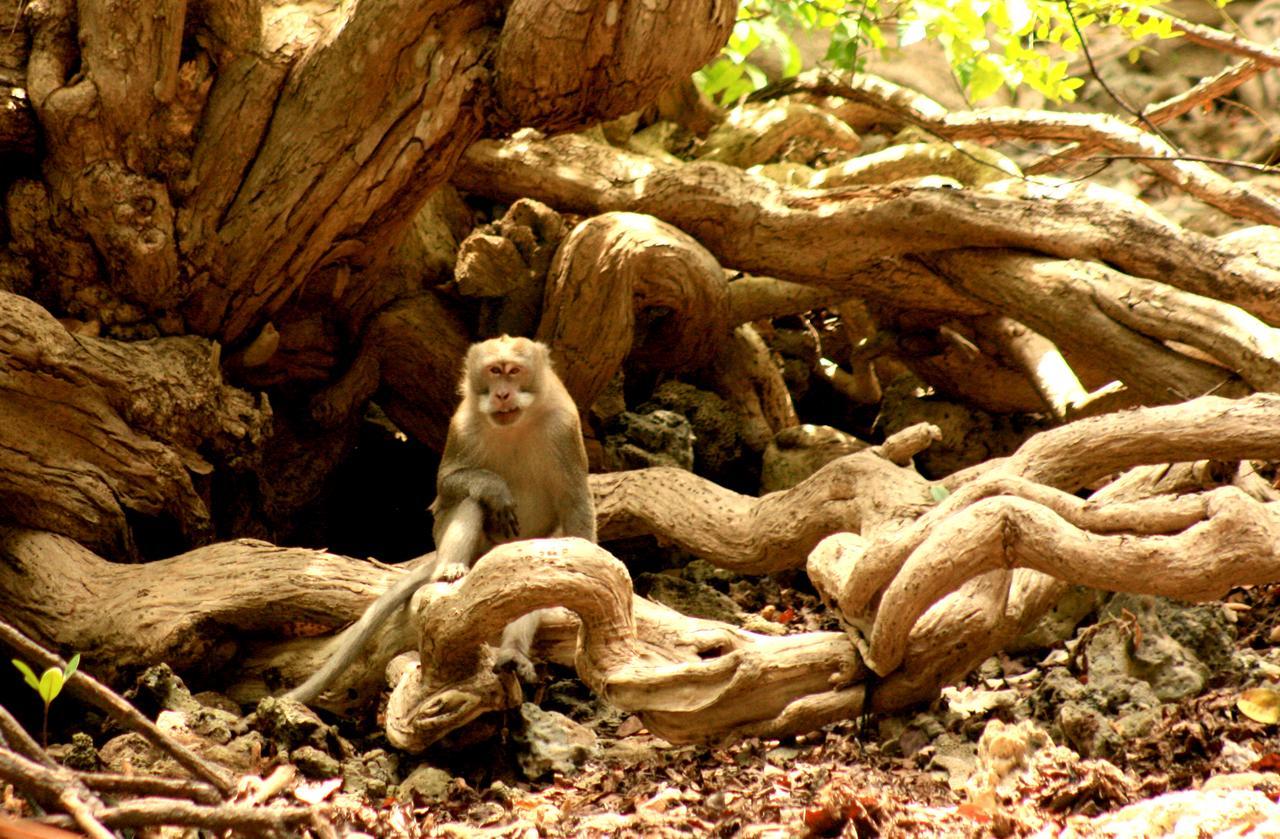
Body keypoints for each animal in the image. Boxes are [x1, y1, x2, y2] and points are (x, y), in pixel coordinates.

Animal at [285, 338, 593, 707]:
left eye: (514, 371)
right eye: (494, 370)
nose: (503, 394)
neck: (517, 424)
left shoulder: (566, 425)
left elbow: (575, 502)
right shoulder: (462, 425)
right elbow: (447, 484)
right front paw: (495, 488)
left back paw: (513, 654)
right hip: (457, 540)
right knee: (470, 503)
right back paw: (450, 569)